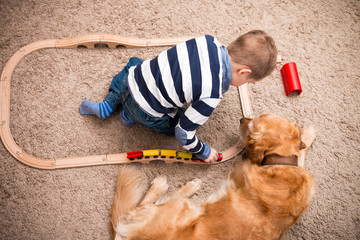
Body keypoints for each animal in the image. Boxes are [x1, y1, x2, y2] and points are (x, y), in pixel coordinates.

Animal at [110, 113, 316, 239]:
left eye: (252, 124)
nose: (242, 118)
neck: (280, 163)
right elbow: (301, 151)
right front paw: (307, 133)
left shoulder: (238, 167)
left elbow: (301, 153)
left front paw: (307, 134)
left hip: (182, 208)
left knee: (140, 206)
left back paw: (175, 185)